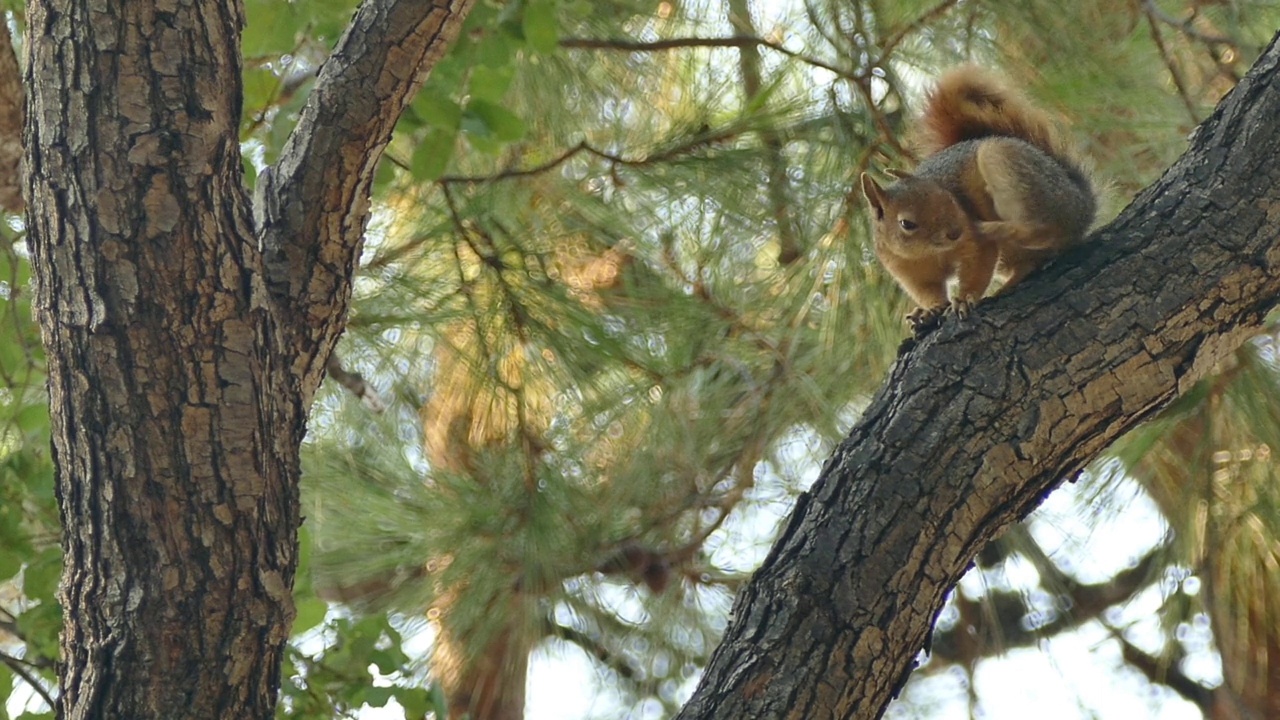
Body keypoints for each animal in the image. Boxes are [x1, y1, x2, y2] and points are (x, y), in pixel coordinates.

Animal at [855, 65, 1095, 330]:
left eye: (949, 196)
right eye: (906, 223)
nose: (956, 232)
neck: (931, 252)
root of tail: (1083, 203)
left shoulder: (975, 244)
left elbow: (979, 267)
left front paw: (964, 299)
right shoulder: (905, 268)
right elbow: (929, 291)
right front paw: (928, 311)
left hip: (1008, 165)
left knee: (1044, 230)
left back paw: (996, 229)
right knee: (1030, 261)